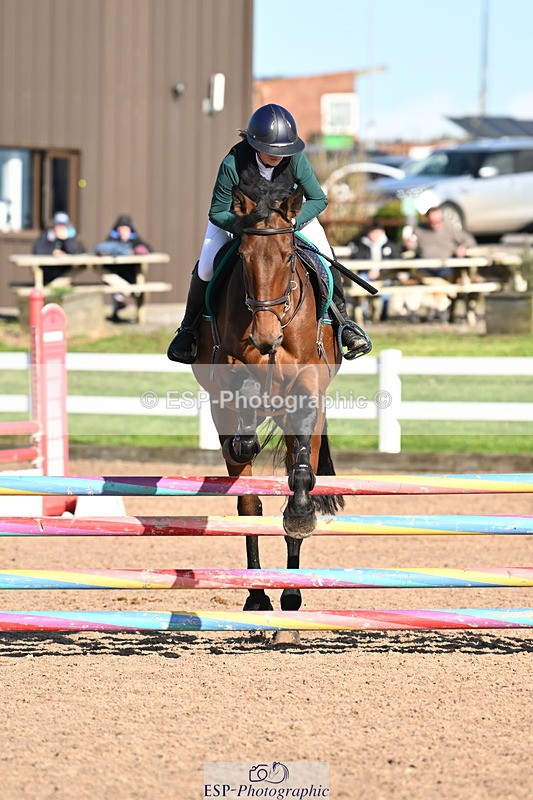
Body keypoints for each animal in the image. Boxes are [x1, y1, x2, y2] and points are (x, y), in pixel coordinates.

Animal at [192, 180, 344, 615]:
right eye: (243, 258)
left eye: (288, 256)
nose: (265, 338)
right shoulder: (227, 373)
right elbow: (242, 410)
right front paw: (246, 440)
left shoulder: (308, 387)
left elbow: (302, 473)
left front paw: (300, 515)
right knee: (249, 506)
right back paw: (258, 597)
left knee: (296, 471)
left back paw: (290, 595)